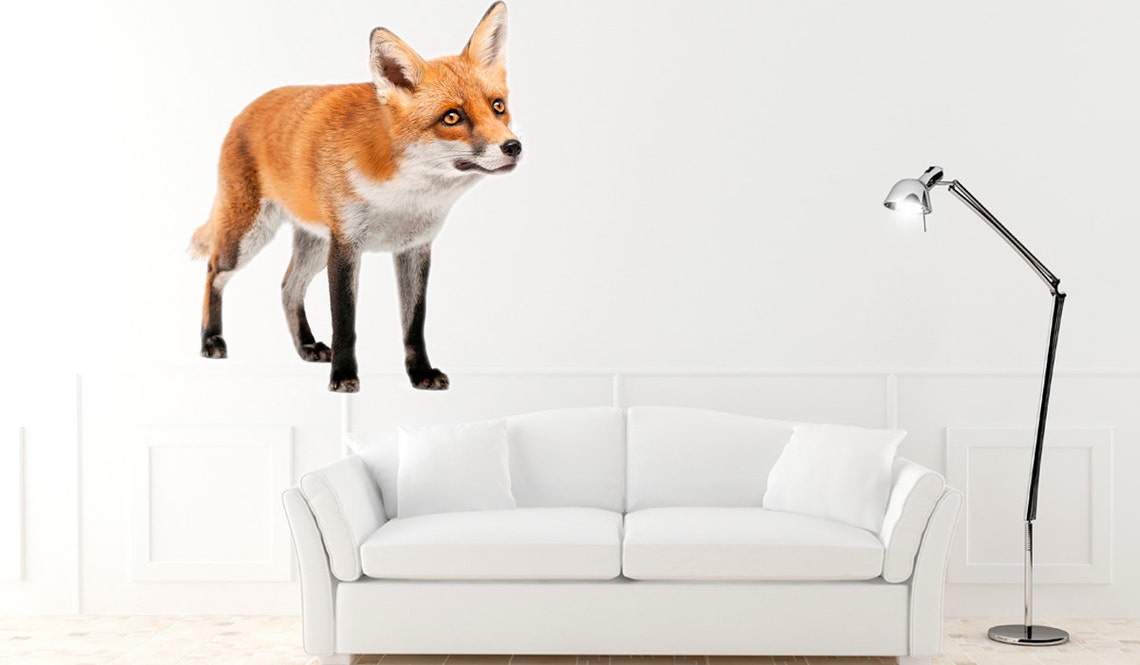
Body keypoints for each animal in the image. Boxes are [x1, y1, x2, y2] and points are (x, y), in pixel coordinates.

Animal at [189, 2, 520, 393]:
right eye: (452, 117)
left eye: (497, 106)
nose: (513, 147)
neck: (403, 197)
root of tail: (247, 109)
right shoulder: (347, 247)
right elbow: (345, 324)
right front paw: (344, 376)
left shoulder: (414, 248)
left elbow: (414, 323)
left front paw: (420, 374)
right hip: (247, 237)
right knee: (214, 271)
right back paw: (211, 339)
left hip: (315, 245)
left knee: (288, 287)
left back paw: (306, 346)